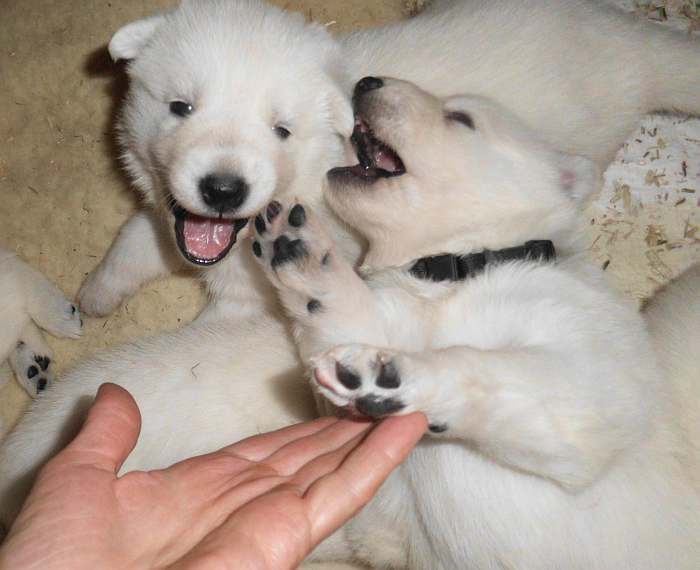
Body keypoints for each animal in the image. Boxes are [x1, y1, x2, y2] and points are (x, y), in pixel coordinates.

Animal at [252, 79, 700, 568]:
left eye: (460, 118)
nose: (368, 81)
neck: (459, 268)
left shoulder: (590, 373)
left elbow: (490, 369)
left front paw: (390, 375)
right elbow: (344, 313)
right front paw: (302, 252)